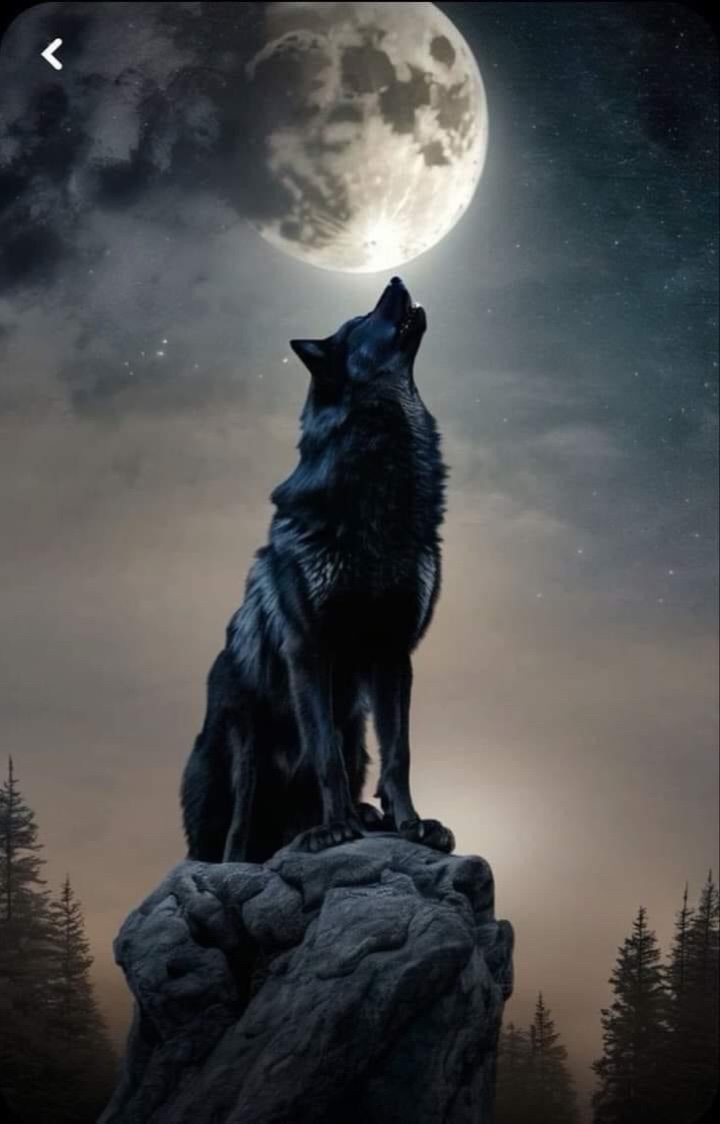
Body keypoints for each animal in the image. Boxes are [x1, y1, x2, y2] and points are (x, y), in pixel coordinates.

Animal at [180, 276, 454, 863]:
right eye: (360, 319)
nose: (395, 278)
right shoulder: (309, 647)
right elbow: (322, 755)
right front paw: (335, 830)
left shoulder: (394, 652)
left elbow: (399, 755)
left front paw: (412, 825)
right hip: (244, 737)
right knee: (236, 831)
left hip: (355, 731)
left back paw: (366, 818)